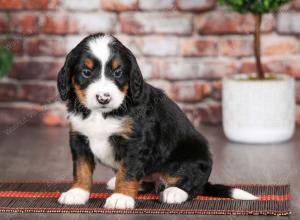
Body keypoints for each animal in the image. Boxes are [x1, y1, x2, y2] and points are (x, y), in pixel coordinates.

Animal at [56, 32, 258, 208]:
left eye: (118, 72)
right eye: (86, 72)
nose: (103, 98)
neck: (102, 114)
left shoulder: (135, 142)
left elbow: (128, 171)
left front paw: (121, 197)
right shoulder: (79, 138)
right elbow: (81, 169)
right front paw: (77, 193)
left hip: (190, 158)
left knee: (193, 184)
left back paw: (174, 192)